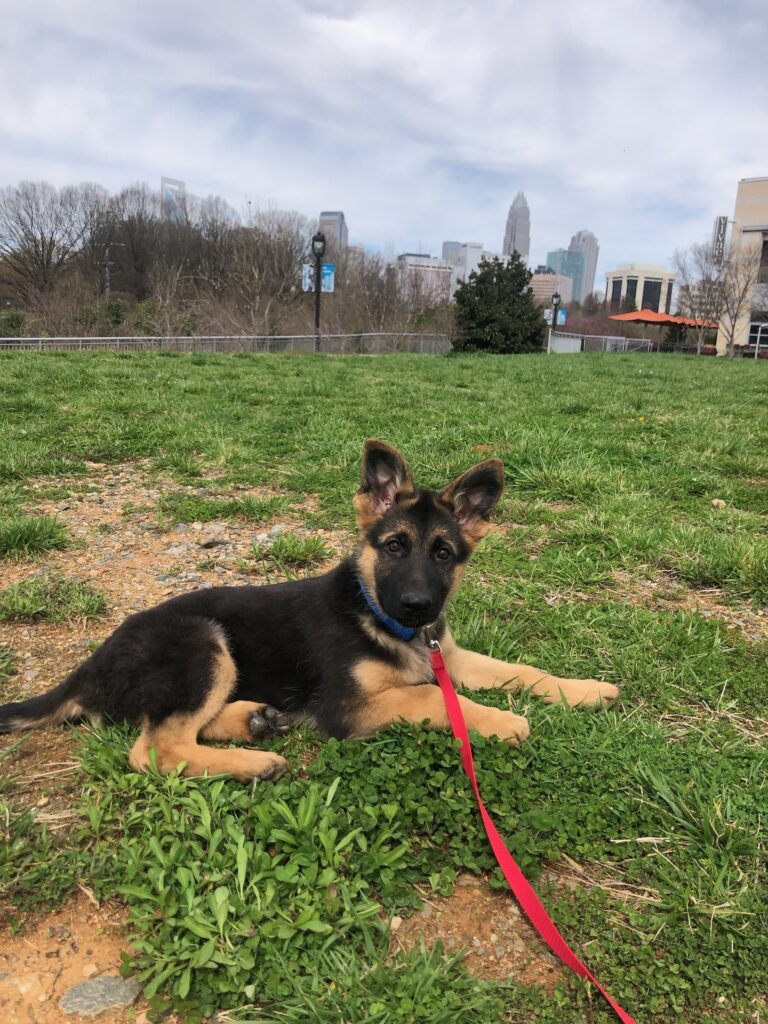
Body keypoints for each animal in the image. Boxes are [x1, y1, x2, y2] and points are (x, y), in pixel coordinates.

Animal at [0, 436, 618, 778]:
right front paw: (499, 719)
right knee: (156, 749)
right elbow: (430, 698)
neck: (374, 612)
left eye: (443, 553)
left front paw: (585, 689)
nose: (418, 607)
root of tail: (89, 666)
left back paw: (254, 720)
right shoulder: (345, 710)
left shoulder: (451, 657)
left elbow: (520, 670)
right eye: (394, 546)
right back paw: (254, 764)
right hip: (203, 644)